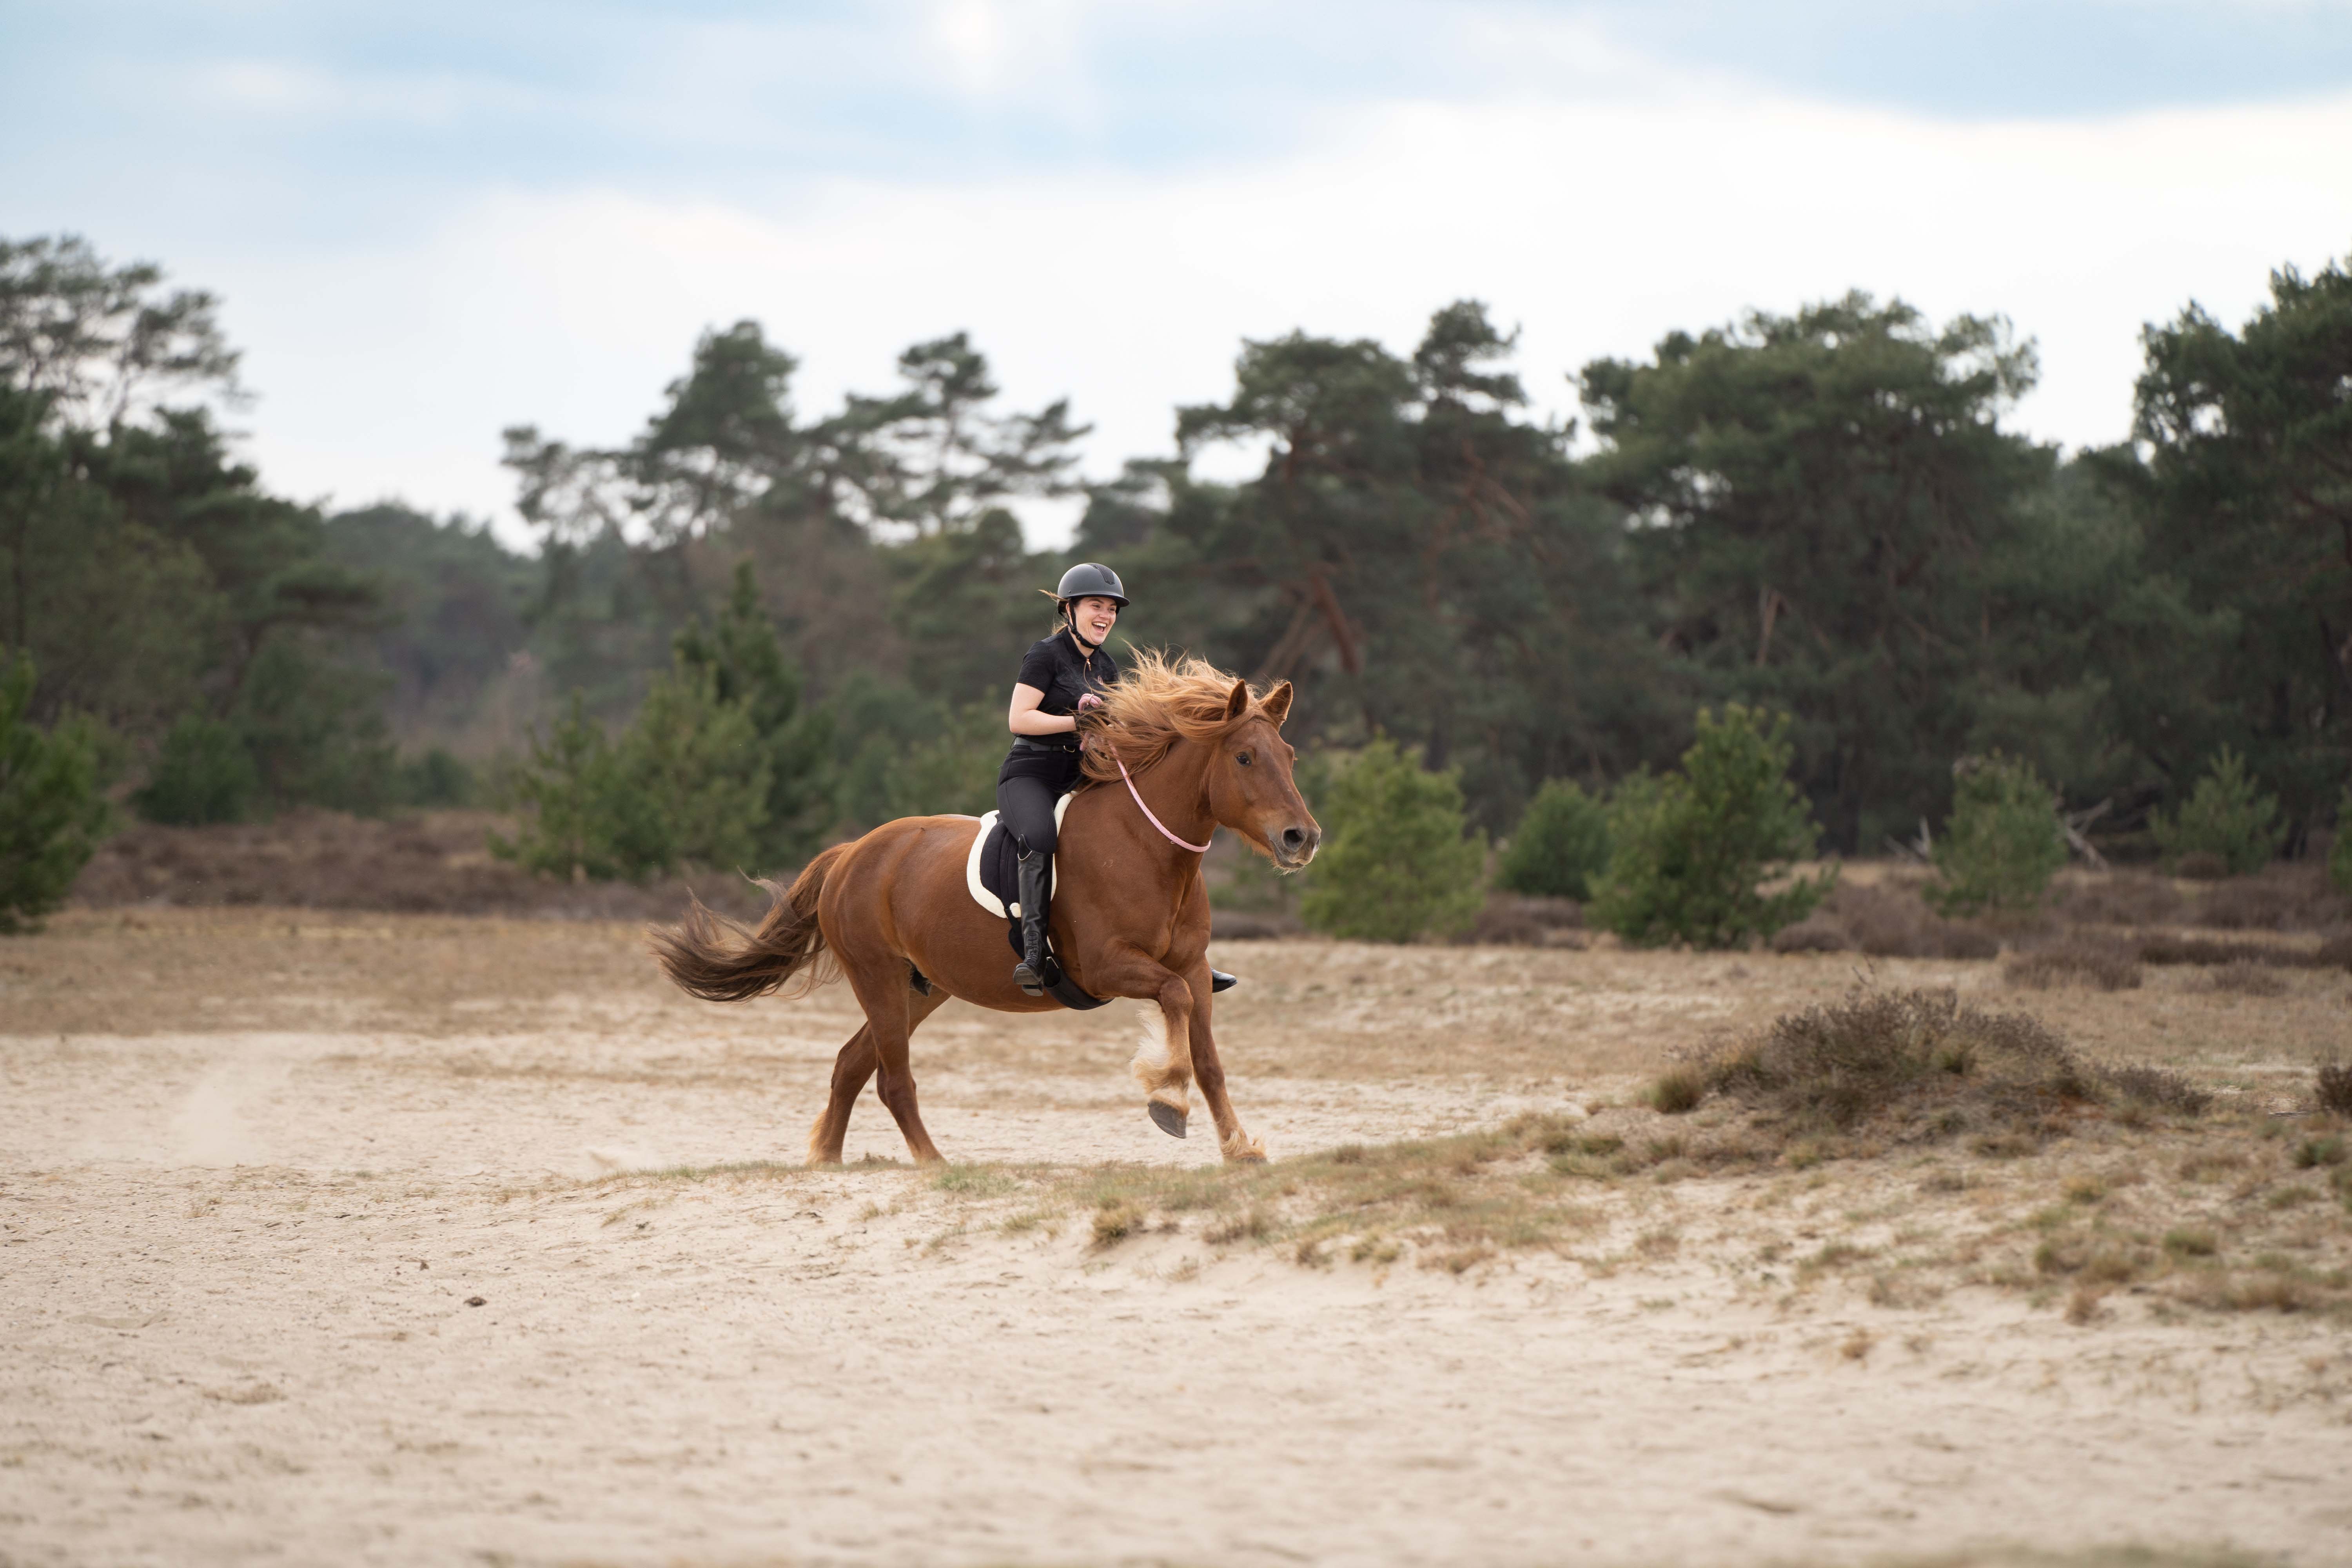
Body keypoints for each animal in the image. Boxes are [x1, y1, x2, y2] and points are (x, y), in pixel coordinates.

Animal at [654, 658, 1317, 1171]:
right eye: (1245, 758)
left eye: (1288, 755)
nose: (1301, 838)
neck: (1146, 847)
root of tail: (851, 854)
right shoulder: (1111, 967)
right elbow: (1174, 1006)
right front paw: (1167, 1102)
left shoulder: (1195, 967)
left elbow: (1209, 1059)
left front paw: (1238, 1147)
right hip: (879, 977)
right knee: (892, 1078)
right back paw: (932, 1162)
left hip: (921, 987)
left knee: (852, 1063)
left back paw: (828, 1159)